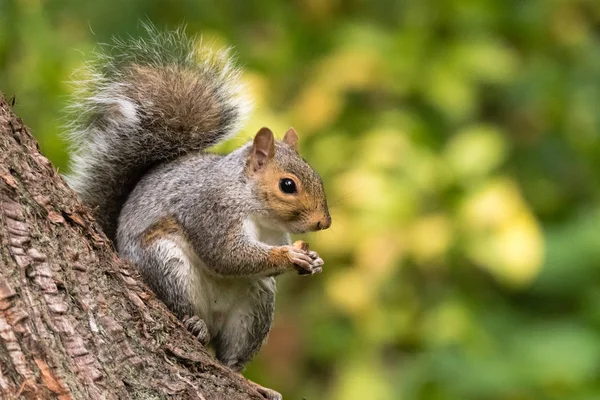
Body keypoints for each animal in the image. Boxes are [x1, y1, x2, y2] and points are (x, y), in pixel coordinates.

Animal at [65, 25, 332, 400]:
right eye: (288, 185)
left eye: (317, 176)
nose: (325, 222)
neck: (254, 208)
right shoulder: (210, 211)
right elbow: (227, 255)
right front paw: (290, 256)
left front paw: (315, 261)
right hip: (166, 264)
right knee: (182, 308)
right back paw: (194, 323)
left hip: (256, 305)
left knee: (230, 358)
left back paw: (252, 382)